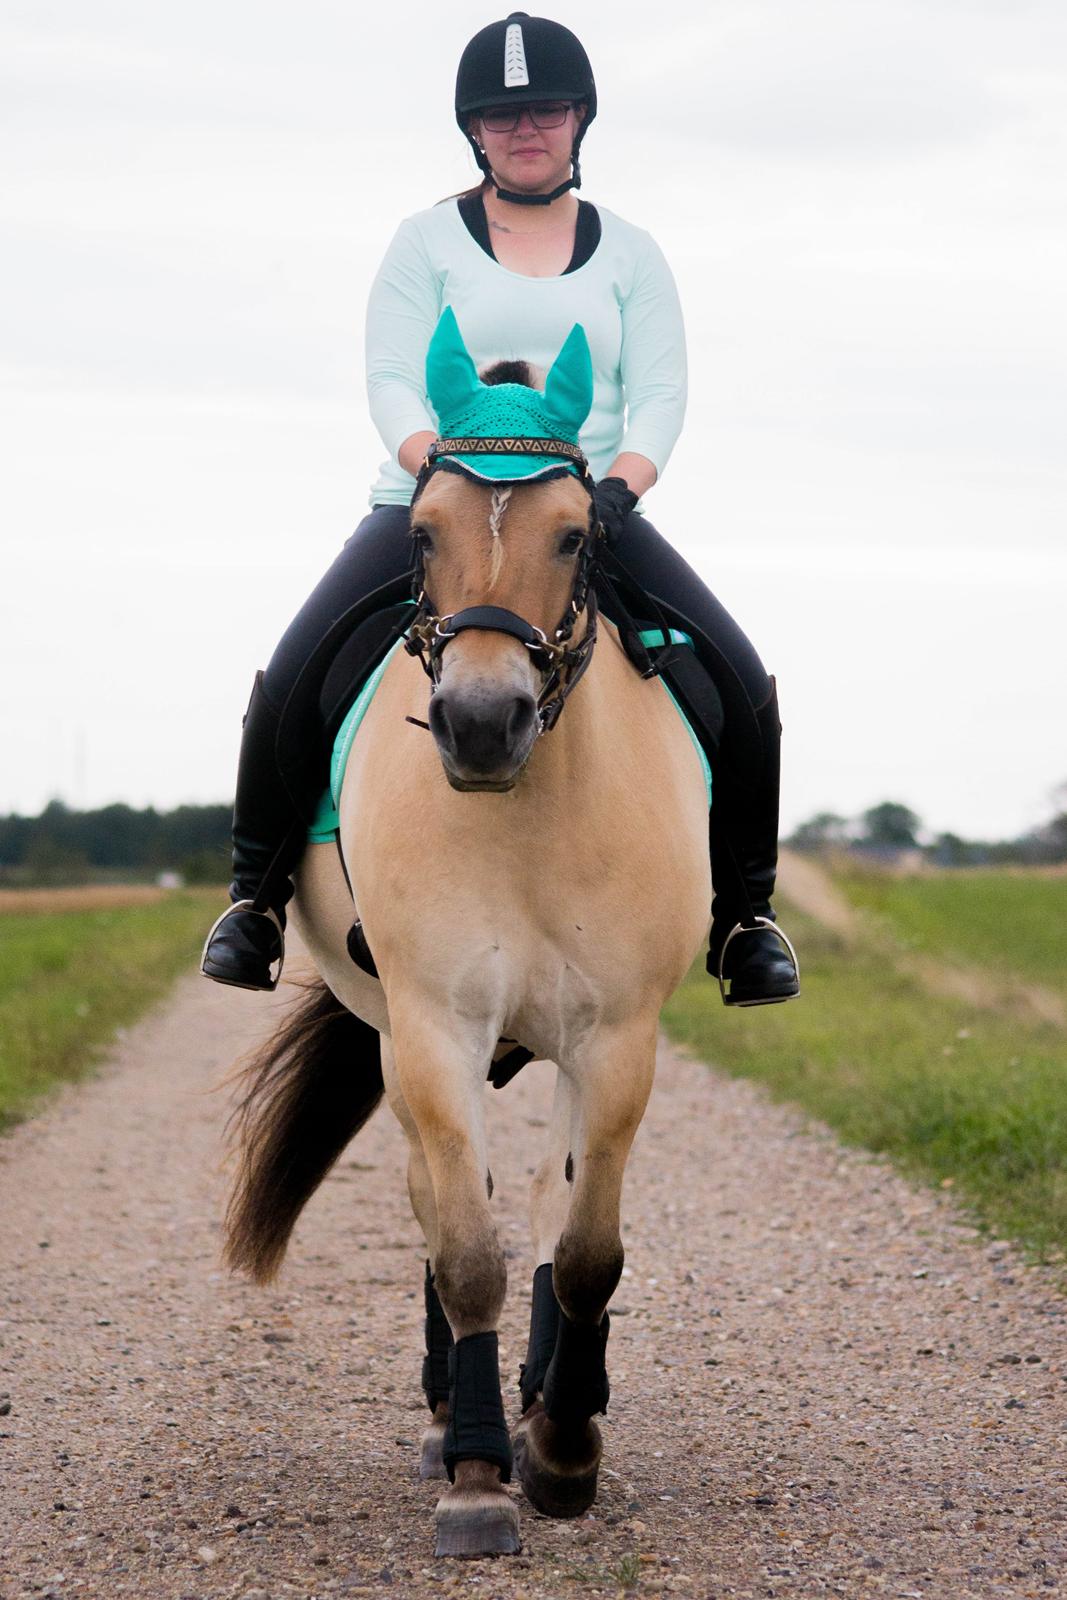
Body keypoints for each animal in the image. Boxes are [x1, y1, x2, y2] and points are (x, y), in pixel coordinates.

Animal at [222, 318, 713, 1555]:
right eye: (421, 529)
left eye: (578, 531)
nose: (482, 723)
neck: (524, 807)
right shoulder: (434, 1030)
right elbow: (465, 1254)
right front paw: (481, 1476)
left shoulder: (616, 1038)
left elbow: (581, 1251)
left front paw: (566, 1449)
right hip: (396, 1037)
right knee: (437, 1199)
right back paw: (458, 1420)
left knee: (543, 1197)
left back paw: (547, 1397)